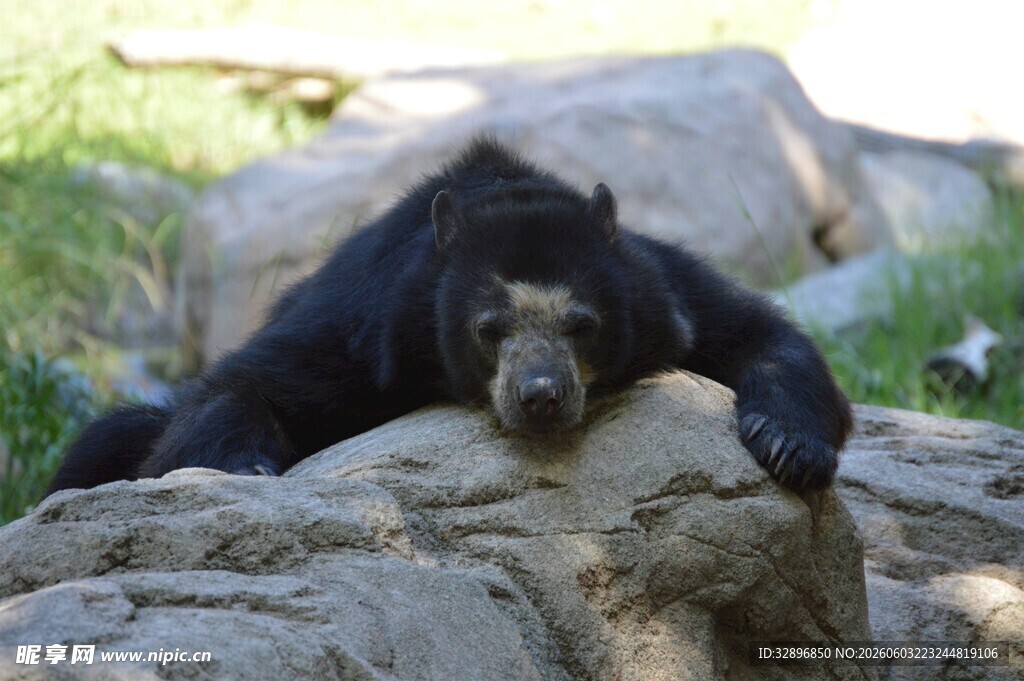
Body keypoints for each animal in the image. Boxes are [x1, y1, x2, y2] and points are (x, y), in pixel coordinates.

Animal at [45, 136, 853, 497]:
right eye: (487, 329)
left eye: (583, 324)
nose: (540, 396)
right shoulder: (365, 326)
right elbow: (245, 385)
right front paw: (247, 465)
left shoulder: (659, 287)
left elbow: (755, 332)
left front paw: (789, 447)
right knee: (109, 439)